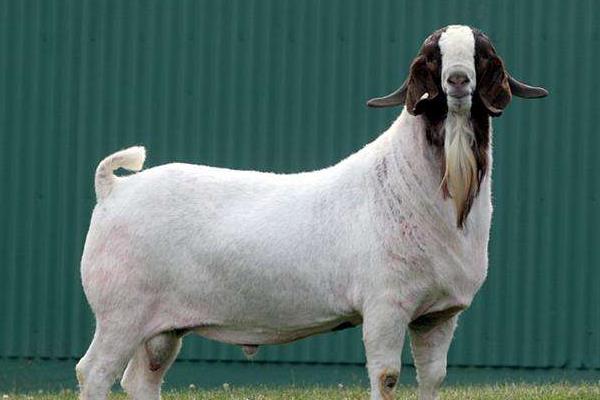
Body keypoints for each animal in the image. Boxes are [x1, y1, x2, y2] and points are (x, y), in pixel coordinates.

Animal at [76, 25, 547, 400]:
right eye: (433, 58)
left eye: (481, 54)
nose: (458, 79)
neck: (411, 182)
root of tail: (114, 189)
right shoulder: (385, 305)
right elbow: (387, 378)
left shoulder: (439, 315)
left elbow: (432, 380)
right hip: (120, 313)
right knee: (94, 372)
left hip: (161, 328)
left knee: (142, 379)